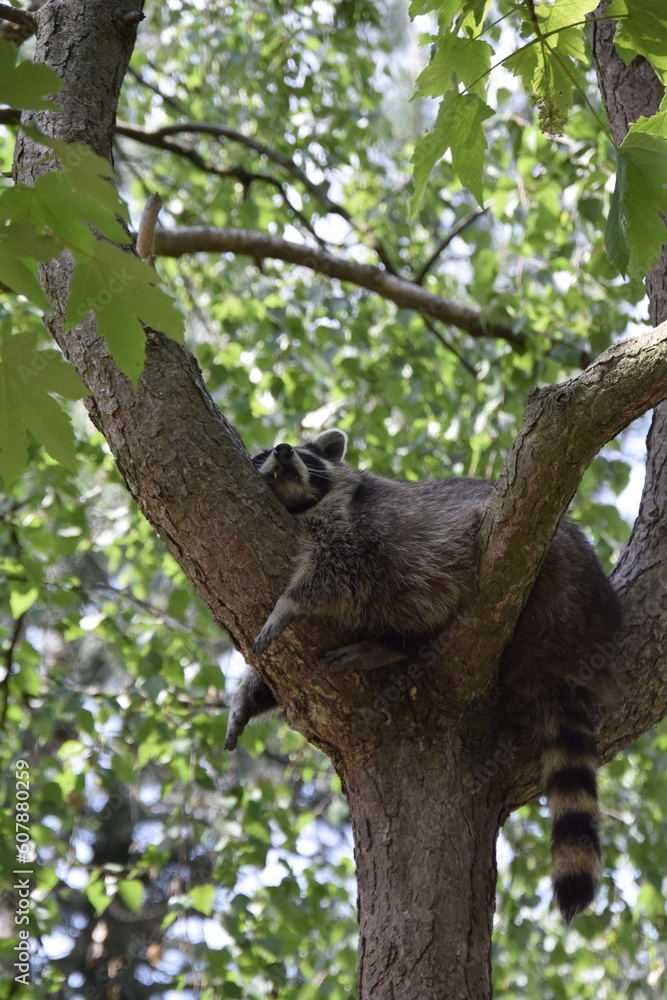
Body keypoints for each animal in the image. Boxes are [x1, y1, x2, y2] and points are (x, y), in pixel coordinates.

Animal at [226, 429, 622, 922]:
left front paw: (288, 603)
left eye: (303, 452)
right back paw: (389, 646)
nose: (281, 450)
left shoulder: (359, 523)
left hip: (552, 567)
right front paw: (248, 695)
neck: (300, 506)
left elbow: (335, 568)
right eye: (262, 454)